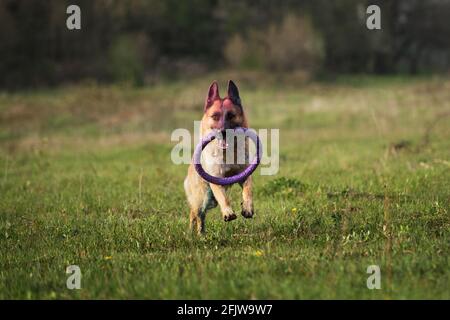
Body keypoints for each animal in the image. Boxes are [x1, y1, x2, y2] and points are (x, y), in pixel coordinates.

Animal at [183, 80, 253, 232]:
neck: (228, 154)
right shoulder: (216, 180)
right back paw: (193, 233)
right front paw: (228, 212)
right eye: (215, 116)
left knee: (201, 216)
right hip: (201, 198)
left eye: (231, 115)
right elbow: (224, 198)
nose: (222, 132)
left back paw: (201, 233)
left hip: (210, 201)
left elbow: (248, 191)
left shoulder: (245, 175)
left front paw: (247, 208)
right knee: (195, 214)